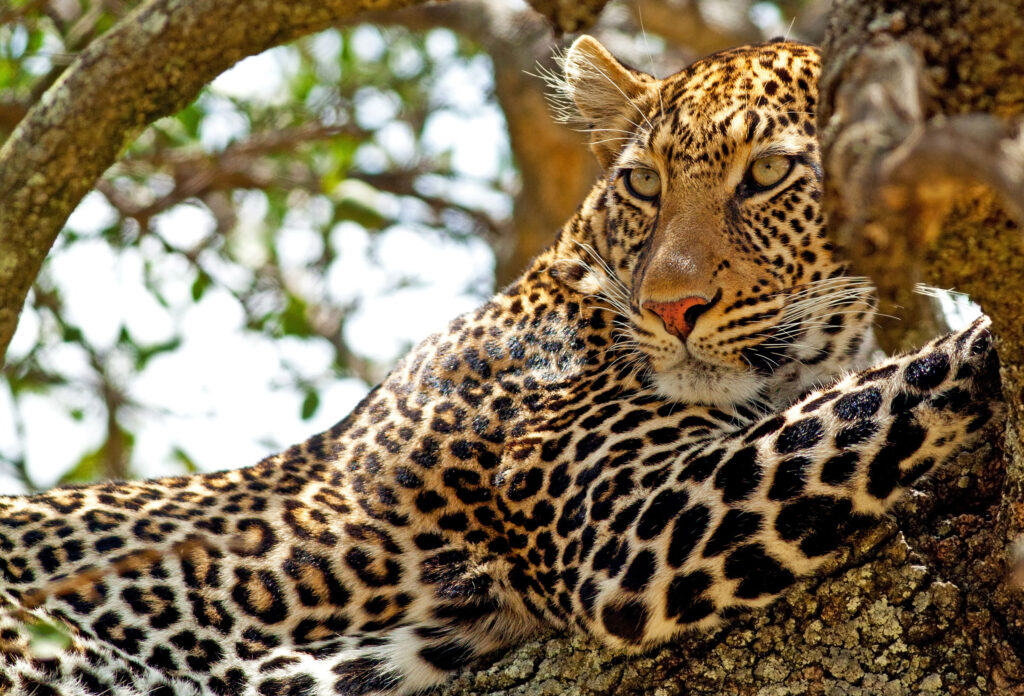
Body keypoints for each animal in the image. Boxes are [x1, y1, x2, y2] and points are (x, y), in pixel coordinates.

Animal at [0, 36, 999, 696]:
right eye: (644, 184)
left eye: (766, 176)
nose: (670, 308)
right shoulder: (627, 529)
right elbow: (861, 407)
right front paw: (980, 343)